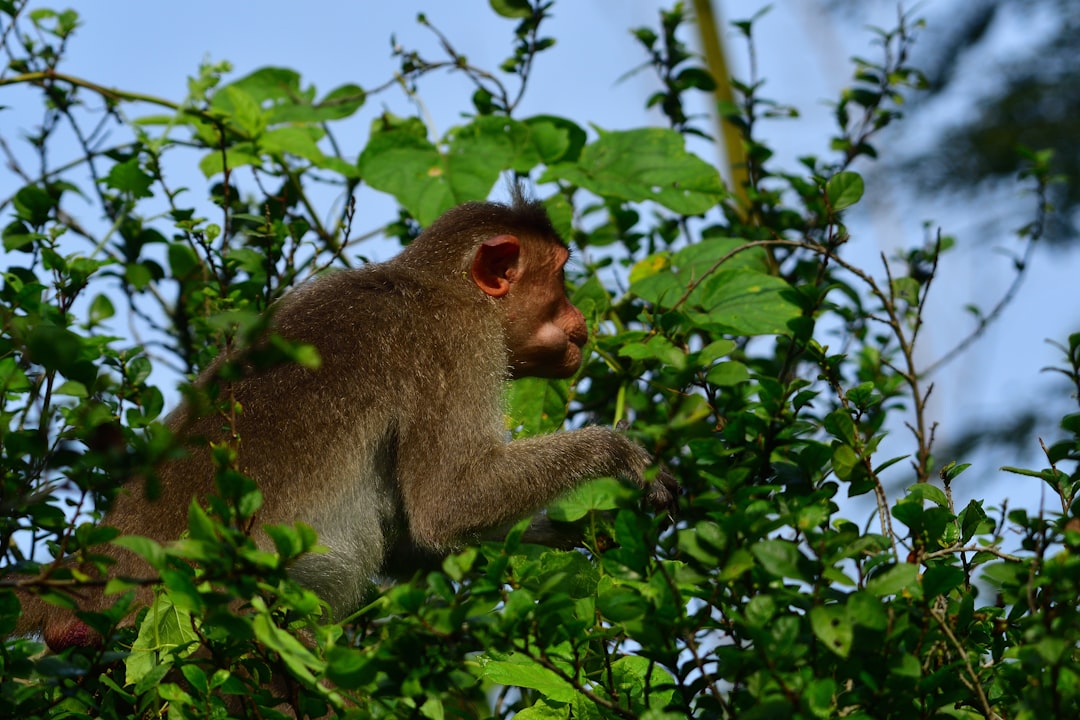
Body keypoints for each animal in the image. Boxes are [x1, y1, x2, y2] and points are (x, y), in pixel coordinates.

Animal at [10, 188, 673, 651]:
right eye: (560, 276)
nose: (580, 320)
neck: (433, 284)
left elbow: (412, 533)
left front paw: (566, 528)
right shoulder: (458, 343)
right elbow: (447, 504)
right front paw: (618, 457)